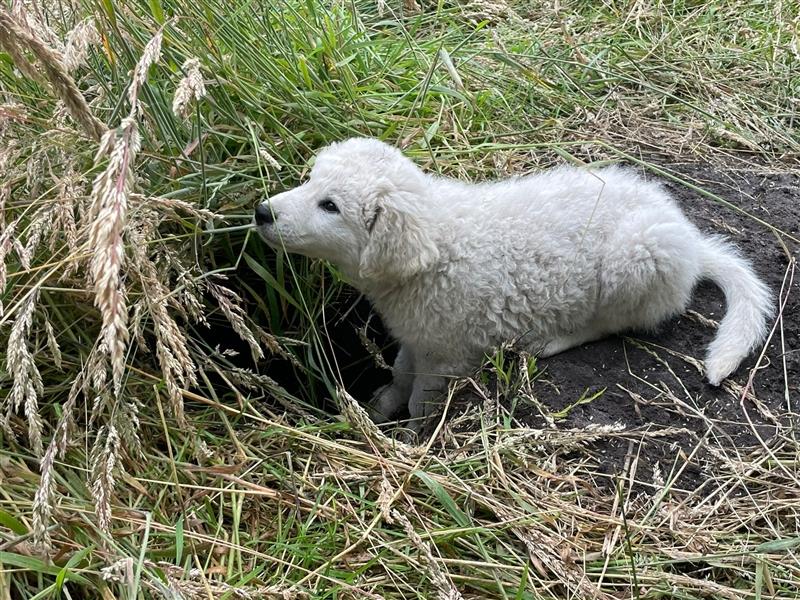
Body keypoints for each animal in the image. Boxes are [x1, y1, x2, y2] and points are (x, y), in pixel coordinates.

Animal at [253, 137, 772, 426]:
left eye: (331, 206)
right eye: (310, 181)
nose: (261, 211)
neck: (435, 245)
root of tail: (689, 240)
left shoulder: (447, 352)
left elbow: (422, 399)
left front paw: (411, 437)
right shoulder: (418, 336)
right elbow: (400, 372)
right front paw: (379, 408)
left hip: (636, 261)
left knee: (613, 323)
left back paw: (551, 340)